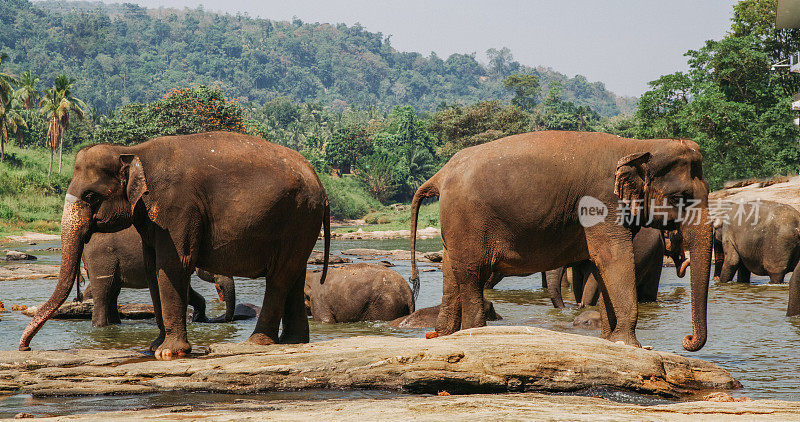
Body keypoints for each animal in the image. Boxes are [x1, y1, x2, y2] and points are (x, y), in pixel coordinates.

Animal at [77, 227, 234, 326]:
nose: (220, 319)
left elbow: (190, 293)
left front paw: (199, 318)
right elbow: (186, 293)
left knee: (113, 292)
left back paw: (116, 324)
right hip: (102, 260)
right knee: (103, 292)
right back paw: (100, 326)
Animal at [412, 130, 712, 352]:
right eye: (679, 198)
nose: (686, 340)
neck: (638, 146)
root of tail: (439, 174)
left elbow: (602, 265)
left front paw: (610, 341)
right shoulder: (601, 202)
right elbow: (611, 257)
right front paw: (630, 345)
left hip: (456, 225)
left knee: (451, 272)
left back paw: (442, 335)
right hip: (468, 219)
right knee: (472, 274)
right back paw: (473, 334)